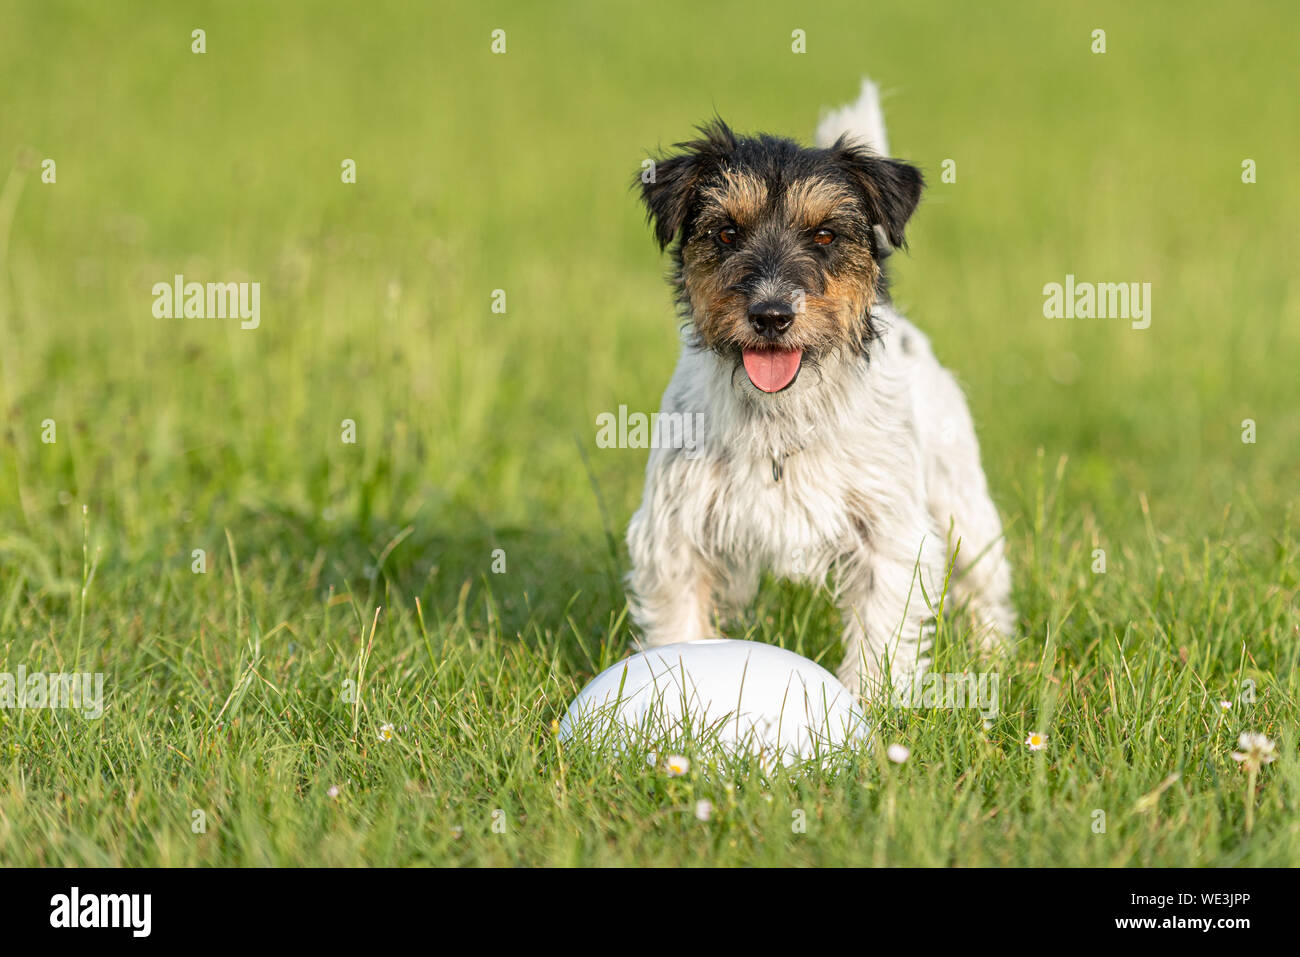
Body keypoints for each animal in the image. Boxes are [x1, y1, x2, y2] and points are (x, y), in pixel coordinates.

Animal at [626, 80, 1013, 696]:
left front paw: (870, 707)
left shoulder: (889, 539)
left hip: (964, 509)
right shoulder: (675, 535)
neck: (782, 416)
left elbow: (881, 638)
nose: (771, 315)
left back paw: (993, 657)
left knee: (985, 588)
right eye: (726, 232)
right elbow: (677, 623)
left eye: (826, 234)